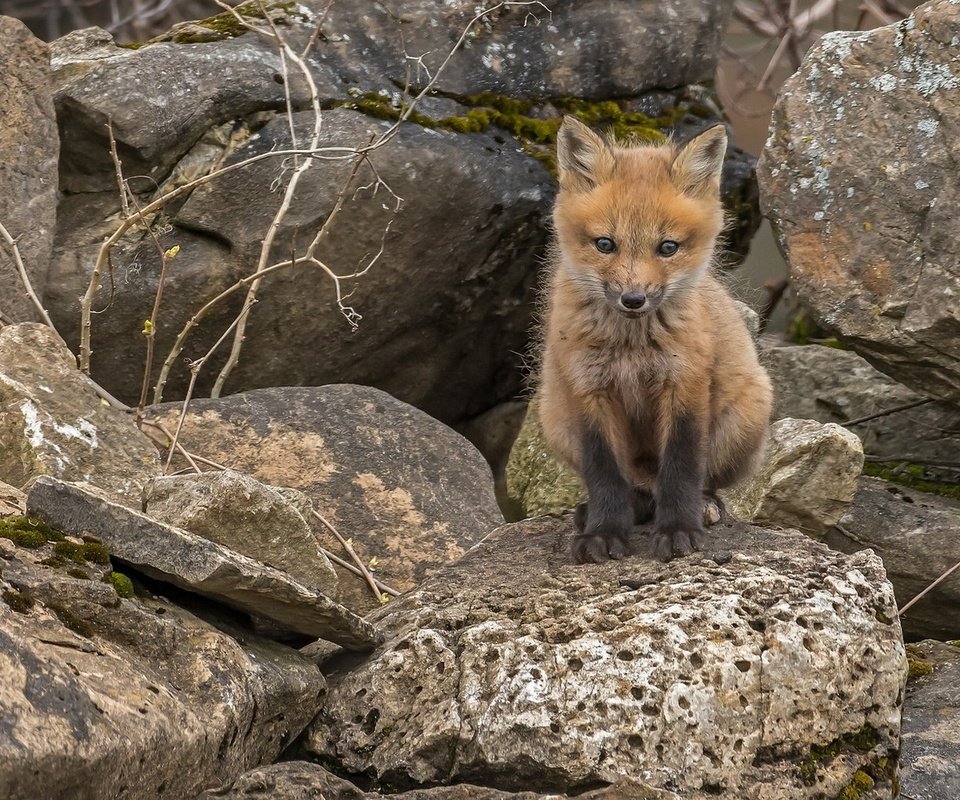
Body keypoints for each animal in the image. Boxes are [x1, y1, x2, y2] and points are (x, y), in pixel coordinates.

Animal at [540, 119, 772, 564]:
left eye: (668, 247)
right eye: (605, 244)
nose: (634, 299)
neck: (632, 348)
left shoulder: (684, 382)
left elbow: (680, 468)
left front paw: (679, 530)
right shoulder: (588, 389)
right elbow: (604, 474)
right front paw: (604, 532)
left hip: (745, 415)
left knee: (697, 481)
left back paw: (704, 505)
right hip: (556, 420)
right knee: (637, 488)